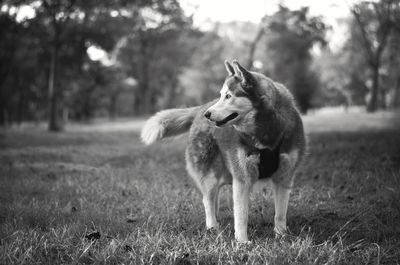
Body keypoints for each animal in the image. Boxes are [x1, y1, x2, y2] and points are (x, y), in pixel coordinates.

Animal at [141, 59, 306, 241]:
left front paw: (281, 235)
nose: (208, 114)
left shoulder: (284, 176)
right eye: (222, 95)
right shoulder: (242, 177)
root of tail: (201, 108)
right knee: (207, 200)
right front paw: (242, 241)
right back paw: (212, 226)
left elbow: (280, 212)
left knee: (214, 198)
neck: (265, 132)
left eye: (228, 96)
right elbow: (241, 214)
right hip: (210, 173)